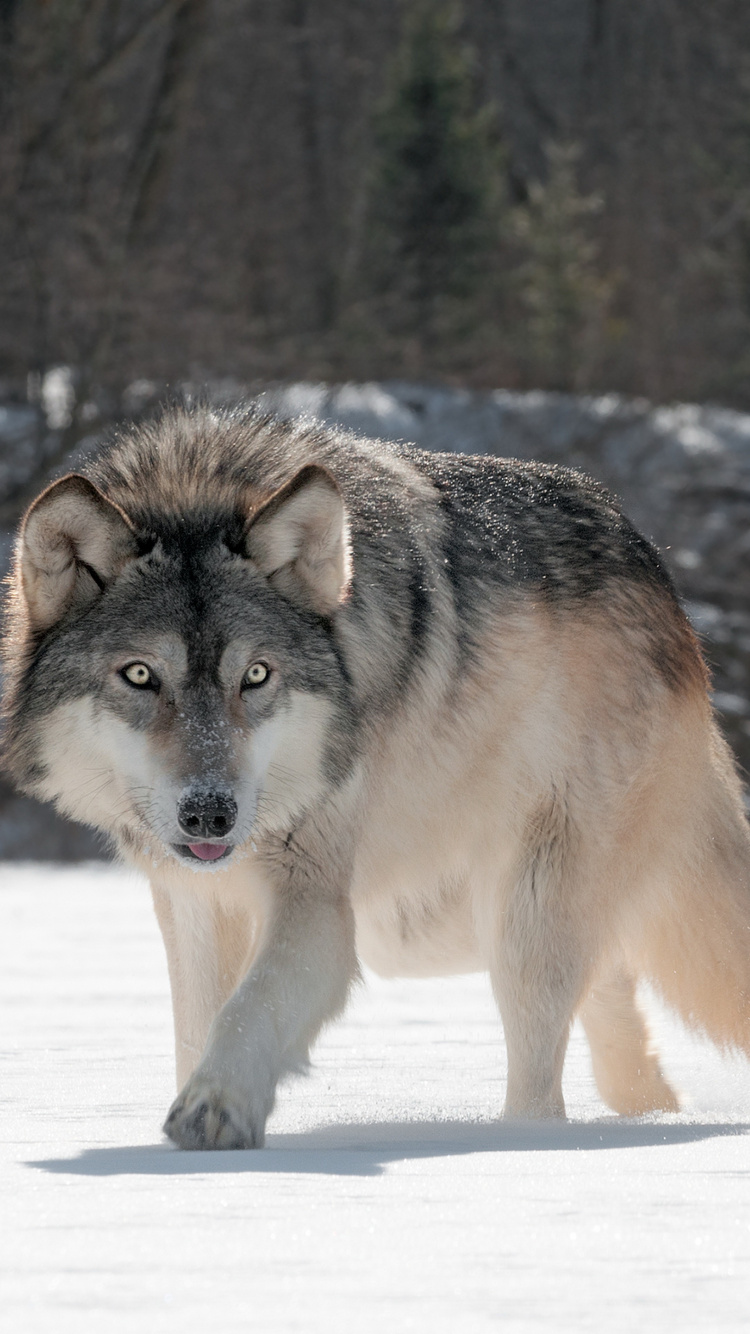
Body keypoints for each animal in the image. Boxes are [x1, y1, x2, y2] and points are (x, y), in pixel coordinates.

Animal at [3, 404, 750, 1148]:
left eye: (256, 675)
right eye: (139, 675)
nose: (210, 813)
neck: (200, 486)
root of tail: (663, 583)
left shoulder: (315, 902)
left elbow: (249, 1009)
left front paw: (214, 1109)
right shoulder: (196, 901)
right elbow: (201, 1024)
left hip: (518, 915)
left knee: (543, 1082)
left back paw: (524, 1141)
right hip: (435, 922)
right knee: (615, 1003)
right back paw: (648, 1114)